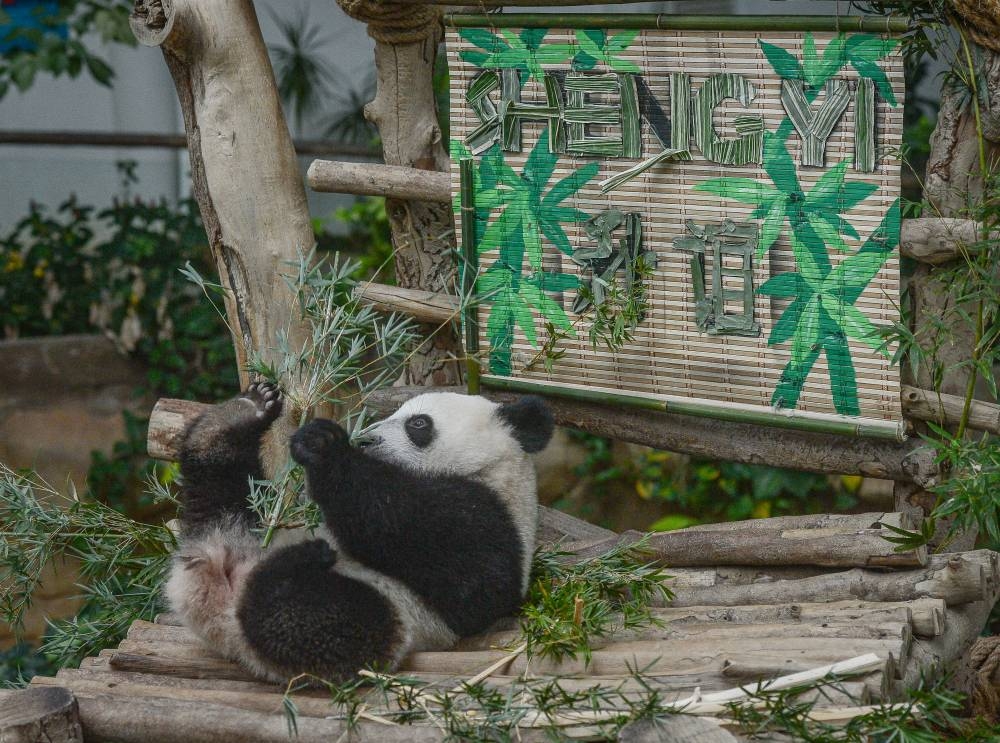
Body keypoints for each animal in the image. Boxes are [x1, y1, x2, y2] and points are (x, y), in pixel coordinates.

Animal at [165, 382, 554, 683]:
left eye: (418, 423)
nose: (366, 440)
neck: (491, 471)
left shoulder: (493, 521)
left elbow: (412, 529)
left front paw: (325, 446)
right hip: (246, 521)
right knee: (220, 487)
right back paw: (240, 414)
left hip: (392, 613)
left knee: (318, 622)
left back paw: (287, 572)